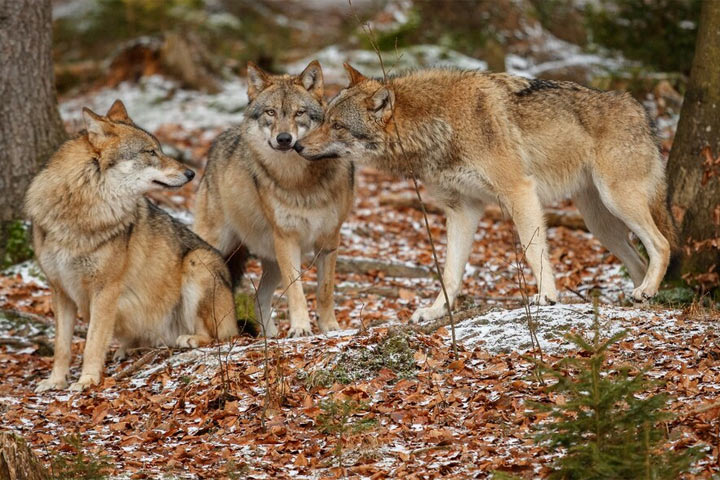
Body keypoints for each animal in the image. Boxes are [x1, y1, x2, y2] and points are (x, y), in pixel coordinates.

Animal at [26, 100, 238, 390]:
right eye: (151, 152)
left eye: (160, 149)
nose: (191, 173)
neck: (82, 211)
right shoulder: (60, 291)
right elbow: (62, 347)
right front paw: (55, 381)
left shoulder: (105, 290)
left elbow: (92, 343)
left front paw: (87, 380)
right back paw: (127, 350)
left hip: (198, 262)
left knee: (219, 336)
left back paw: (189, 338)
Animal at [194, 61, 354, 338]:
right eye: (270, 112)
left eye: (300, 113)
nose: (284, 139)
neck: (299, 181)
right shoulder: (287, 239)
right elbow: (296, 291)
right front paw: (300, 328)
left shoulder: (329, 239)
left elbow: (325, 291)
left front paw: (330, 327)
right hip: (215, 249)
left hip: (272, 261)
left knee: (259, 296)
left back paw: (269, 335)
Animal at [294, 62, 676, 318]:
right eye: (322, 118)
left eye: (337, 125)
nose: (296, 146)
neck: (439, 124)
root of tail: (641, 111)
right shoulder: (462, 209)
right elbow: (450, 273)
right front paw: (435, 312)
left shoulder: (519, 192)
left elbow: (533, 251)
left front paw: (547, 296)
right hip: (600, 223)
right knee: (639, 259)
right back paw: (640, 296)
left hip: (617, 201)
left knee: (662, 244)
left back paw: (646, 290)